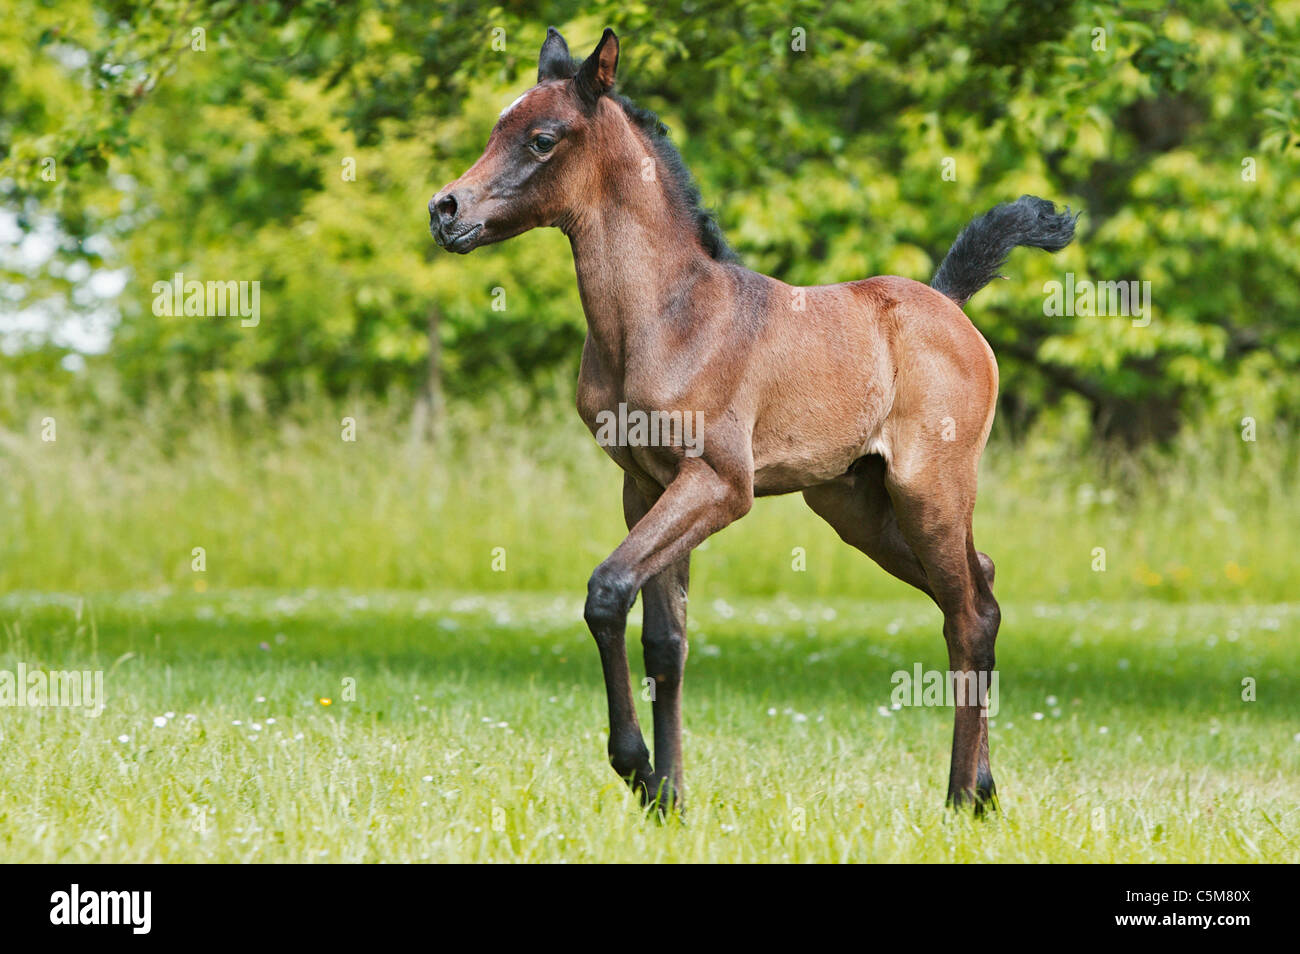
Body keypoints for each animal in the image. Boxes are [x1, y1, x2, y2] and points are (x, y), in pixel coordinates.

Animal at [428, 29, 1076, 816]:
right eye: (498, 126)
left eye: (542, 138)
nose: (444, 210)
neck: (667, 318)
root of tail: (949, 304)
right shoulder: (645, 487)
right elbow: (666, 642)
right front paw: (668, 798)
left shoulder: (719, 485)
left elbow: (608, 593)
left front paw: (635, 767)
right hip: (856, 506)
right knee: (981, 586)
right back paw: (983, 787)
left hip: (929, 491)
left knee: (969, 616)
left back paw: (960, 798)